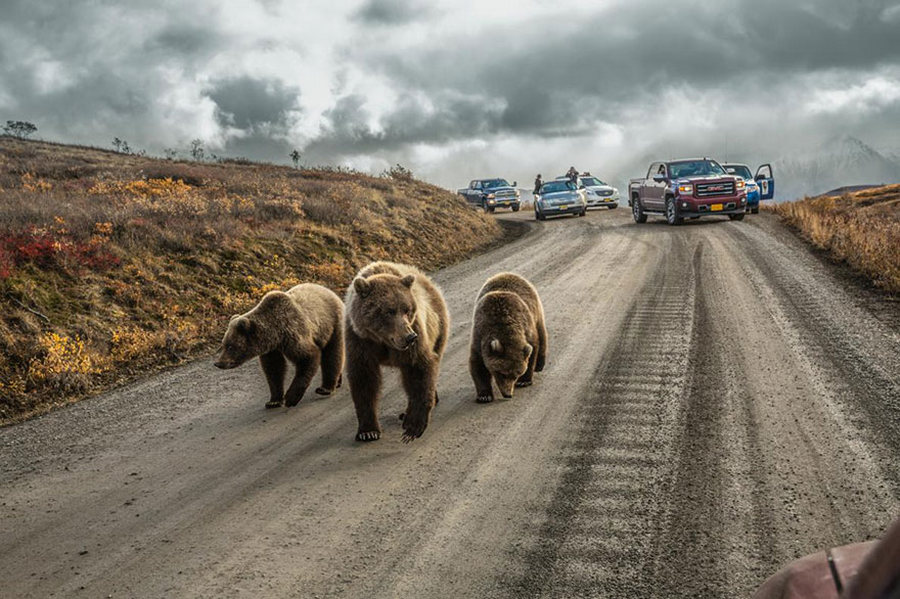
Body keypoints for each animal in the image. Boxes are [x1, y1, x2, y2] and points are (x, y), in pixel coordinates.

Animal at [214, 284, 344, 410]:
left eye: (231, 346)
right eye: (223, 344)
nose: (218, 363)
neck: (276, 334)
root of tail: (331, 292)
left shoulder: (293, 333)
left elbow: (307, 357)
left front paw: (290, 398)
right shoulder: (271, 349)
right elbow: (274, 369)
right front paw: (273, 401)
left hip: (332, 324)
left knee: (333, 354)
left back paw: (326, 388)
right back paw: (337, 382)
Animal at [344, 260, 450, 442]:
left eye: (407, 309)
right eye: (389, 310)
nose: (410, 337)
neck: (382, 340)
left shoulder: (416, 334)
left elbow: (419, 370)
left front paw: (413, 427)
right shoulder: (360, 341)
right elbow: (364, 380)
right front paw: (368, 431)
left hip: (438, 327)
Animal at [472, 272, 548, 404]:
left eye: (516, 375)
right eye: (502, 373)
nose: (508, 394)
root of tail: (507, 273)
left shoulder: (527, 329)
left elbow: (532, 349)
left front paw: (524, 381)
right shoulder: (479, 336)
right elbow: (478, 365)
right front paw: (484, 395)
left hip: (536, 310)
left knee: (542, 333)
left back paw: (540, 364)